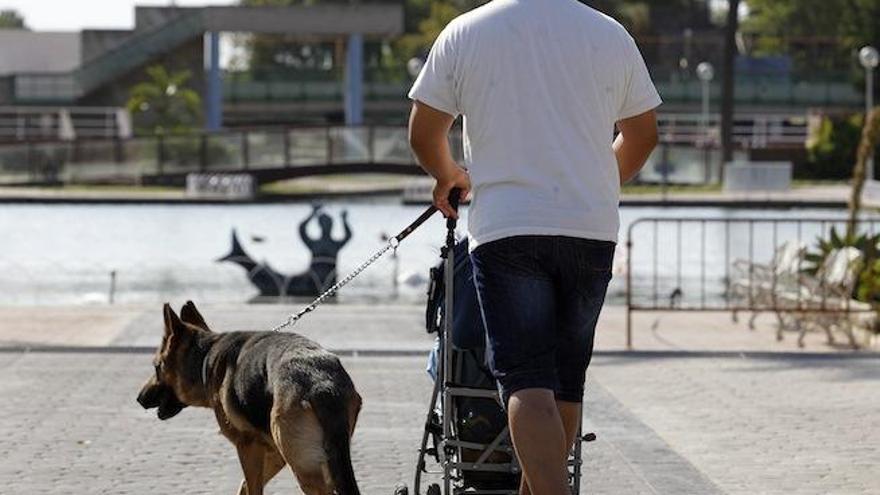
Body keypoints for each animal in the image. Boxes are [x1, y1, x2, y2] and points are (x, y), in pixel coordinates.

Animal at [137, 302, 360, 495]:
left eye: (156, 367)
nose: (139, 398)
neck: (206, 358)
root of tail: (321, 382)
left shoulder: (248, 447)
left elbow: (252, 487)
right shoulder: (273, 452)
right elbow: (245, 485)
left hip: (304, 468)